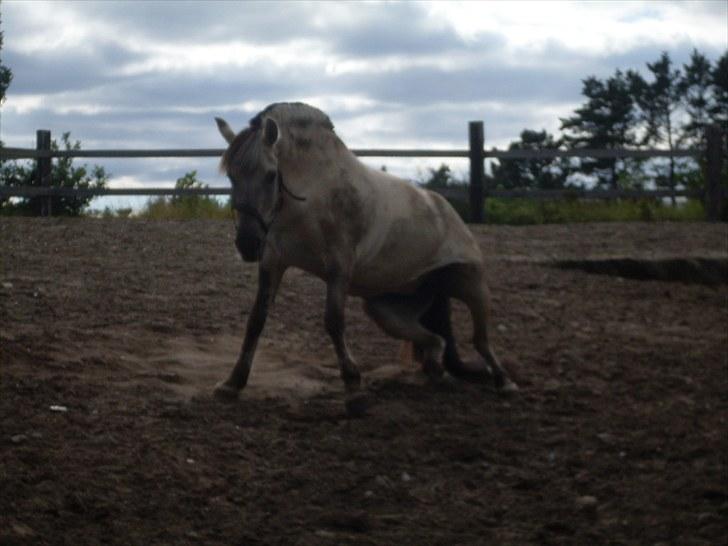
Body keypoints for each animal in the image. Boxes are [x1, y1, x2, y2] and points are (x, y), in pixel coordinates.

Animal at [212, 102, 516, 408]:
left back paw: (505, 383)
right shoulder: (274, 261)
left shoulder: (339, 266)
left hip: (472, 285)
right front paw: (232, 383)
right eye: (232, 176)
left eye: (271, 175)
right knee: (436, 341)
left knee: (480, 340)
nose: (247, 244)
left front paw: (353, 384)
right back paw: (436, 372)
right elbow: (256, 321)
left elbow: (334, 321)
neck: (311, 194)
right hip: (385, 310)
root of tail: (447, 208)